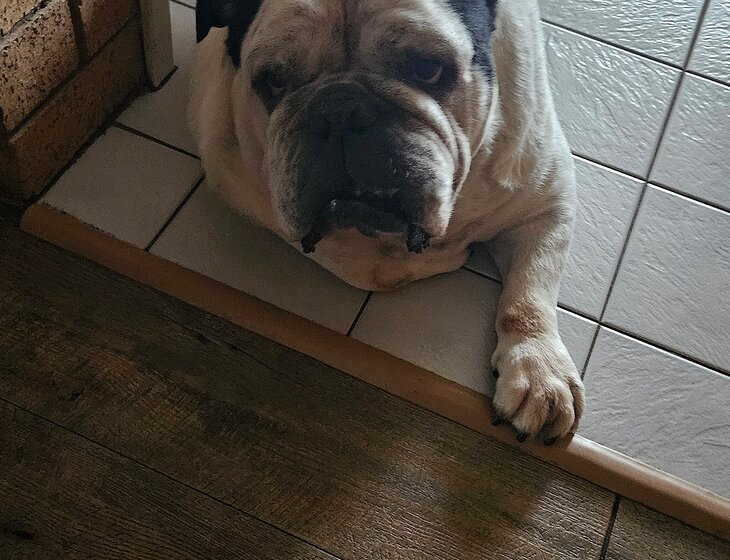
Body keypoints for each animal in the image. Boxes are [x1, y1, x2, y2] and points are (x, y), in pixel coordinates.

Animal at [191, 0, 585, 445]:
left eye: (428, 69)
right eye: (274, 81)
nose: (340, 110)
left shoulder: (546, 198)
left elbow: (529, 294)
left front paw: (538, 371)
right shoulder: (243, 182)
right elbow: (363, 263)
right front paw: (431, 256)